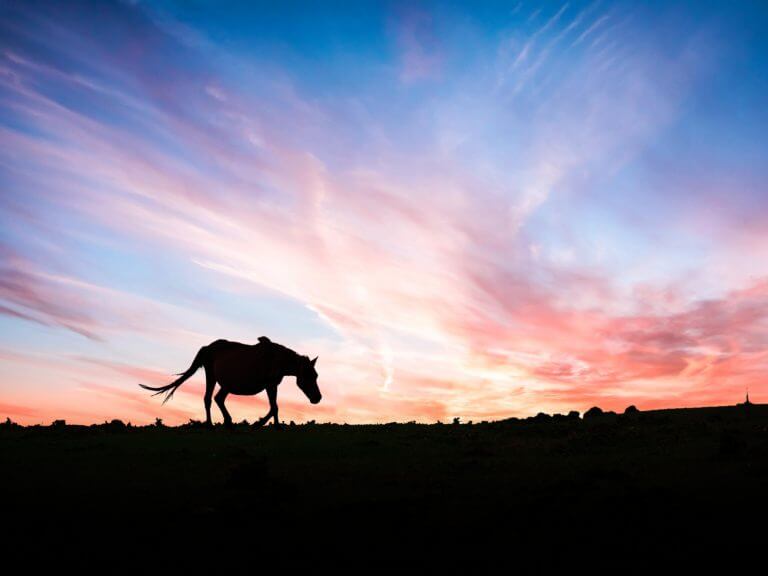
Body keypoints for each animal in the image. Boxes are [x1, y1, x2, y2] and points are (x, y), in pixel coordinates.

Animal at [136, 338, 320, 428]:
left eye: (316, 375)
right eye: (308, 375)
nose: (317, 398)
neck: (277, 359)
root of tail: (207, 347)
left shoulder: (273, 384)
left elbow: (274, 407)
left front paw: (274, 426)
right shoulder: (269, 384)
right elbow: (274, 407)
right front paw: (259, 424)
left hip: (226, 384)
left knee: (218, 398)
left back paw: (229, 422)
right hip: (211, 376)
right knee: (208, 399)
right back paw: (210, 425)